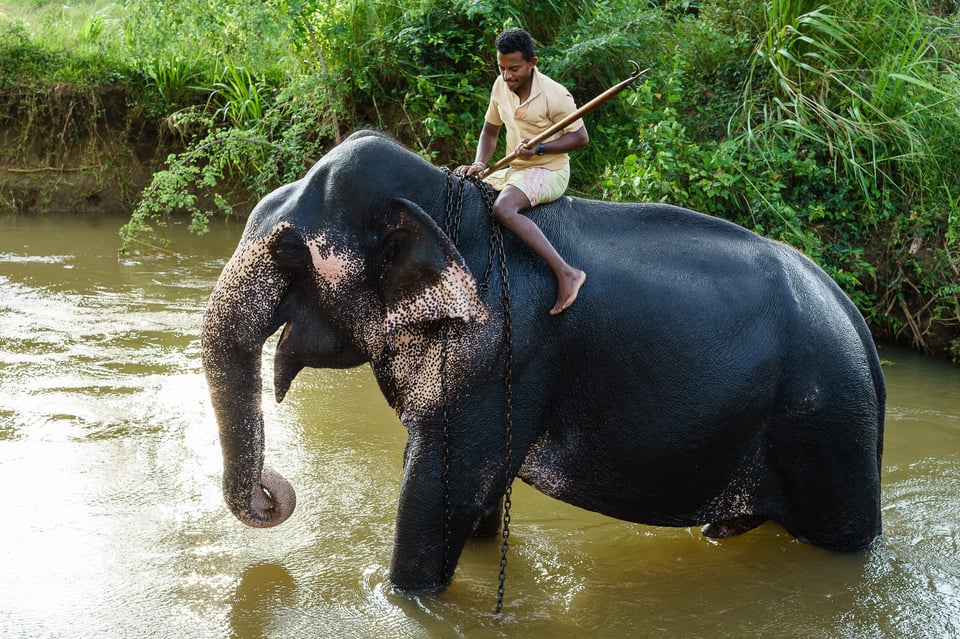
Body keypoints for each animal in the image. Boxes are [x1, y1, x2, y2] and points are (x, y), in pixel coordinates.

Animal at [202, 129, 884, 596]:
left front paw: (406, 598)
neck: (445, 204)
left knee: (842, 536)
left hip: (829, 427)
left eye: (290, 252)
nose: (273, 493)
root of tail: (857, 321)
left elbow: (443, 484)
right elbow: (476, 491)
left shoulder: (498, 345)